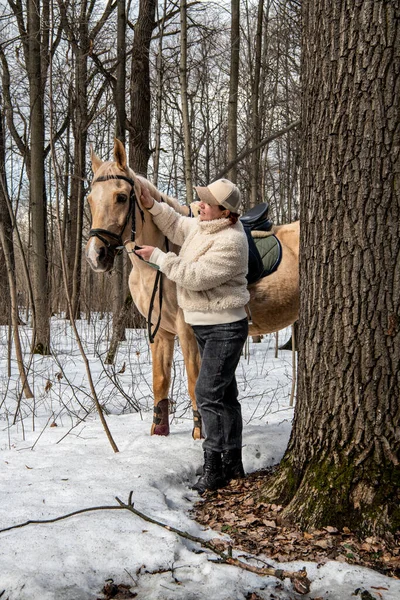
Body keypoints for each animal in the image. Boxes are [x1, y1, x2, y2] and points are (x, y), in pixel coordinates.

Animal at [86, 138, 300, 438]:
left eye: (121, 197)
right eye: (90, 199)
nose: (96, 255)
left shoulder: (187, 330)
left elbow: (193, 380)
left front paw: (200, 432)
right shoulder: (160, 329)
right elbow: (161, 380)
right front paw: (159, 430)